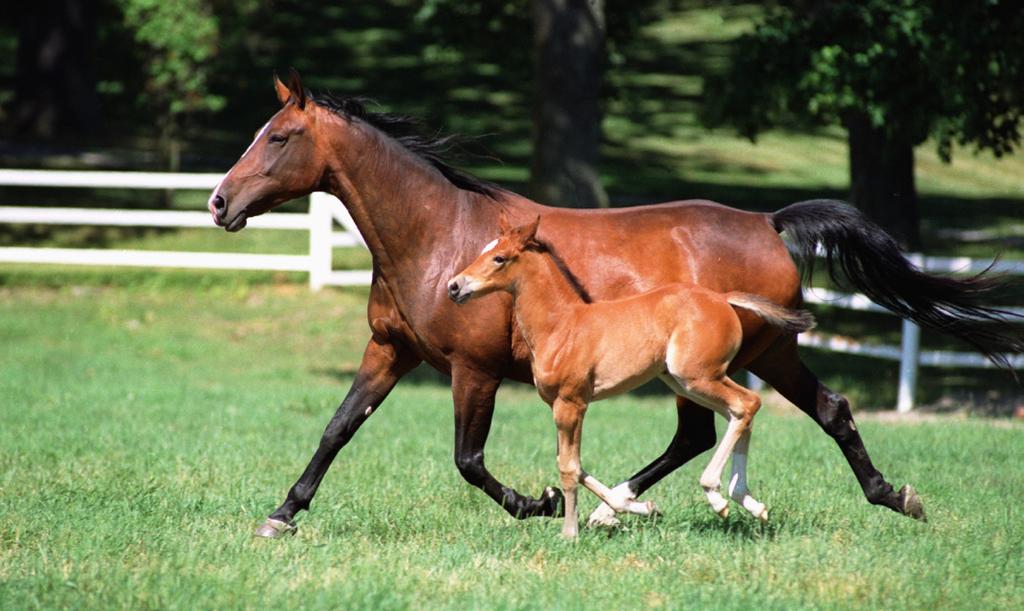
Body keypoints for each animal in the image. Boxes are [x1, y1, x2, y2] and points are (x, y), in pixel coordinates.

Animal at [448, 216, 815, 536]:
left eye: (499, 258)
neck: (563, 325)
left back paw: (717, 494)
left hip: (698, 377)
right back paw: (749, 502)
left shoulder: (571, 403)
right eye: (483, 249)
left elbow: (568, 467)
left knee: (746, 403)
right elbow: (575, 464)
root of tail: (722, 298)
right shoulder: (560, 407)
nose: (454, 286)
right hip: (685, 381)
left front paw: (570, 532)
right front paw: (639, 508)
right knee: (738, 413)